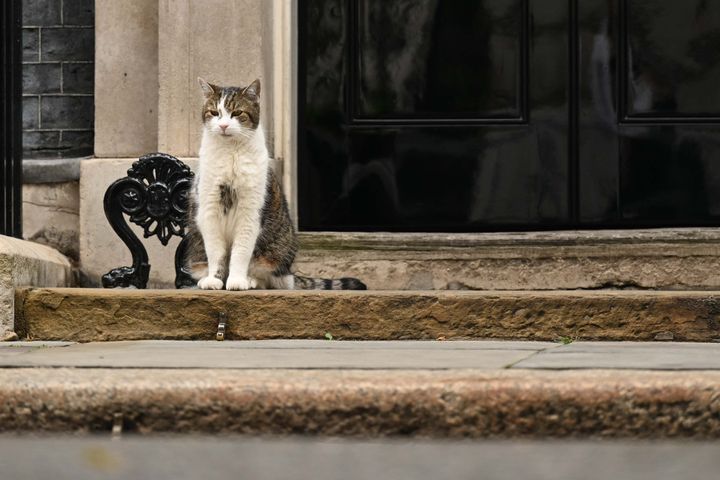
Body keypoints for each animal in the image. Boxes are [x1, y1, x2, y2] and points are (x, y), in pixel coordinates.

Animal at [183, 77, 368, 290]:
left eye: (237, 113)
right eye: (214, 113)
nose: (223, 126)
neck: (230, 153)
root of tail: (290, 273)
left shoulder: (250, 214)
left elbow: (240, 252)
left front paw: (237, 281)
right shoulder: (209, 210)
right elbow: (216, 253)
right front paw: (214, 280)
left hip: (275, 253)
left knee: (268, 277)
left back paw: (251, 280)